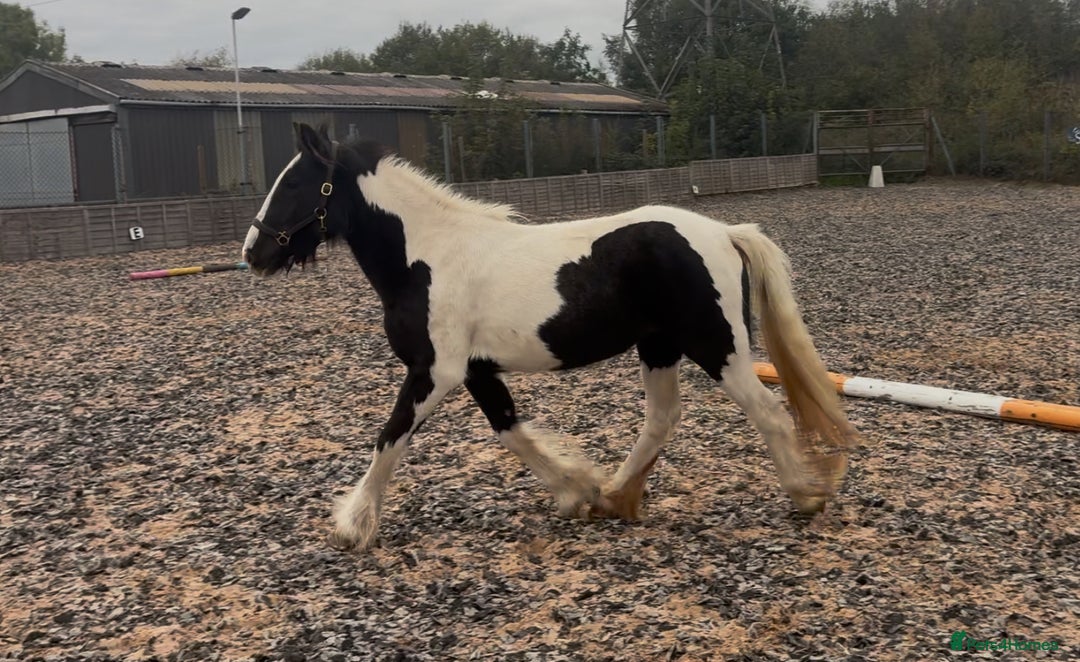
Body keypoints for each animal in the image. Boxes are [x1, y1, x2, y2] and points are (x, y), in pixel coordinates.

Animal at [242, 122, 858, 551]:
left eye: (295, 183)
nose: (253, 253)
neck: (426, 258)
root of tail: (726, 232)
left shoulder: (434, 371)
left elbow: (389, 438)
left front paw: (351, 526)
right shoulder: (476, 372)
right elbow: (511, 433)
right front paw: (576, 491)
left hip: (717, 346)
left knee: (769, 414)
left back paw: (806, 496)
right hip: (659, 347)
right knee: (661, 419)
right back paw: (615, 497)